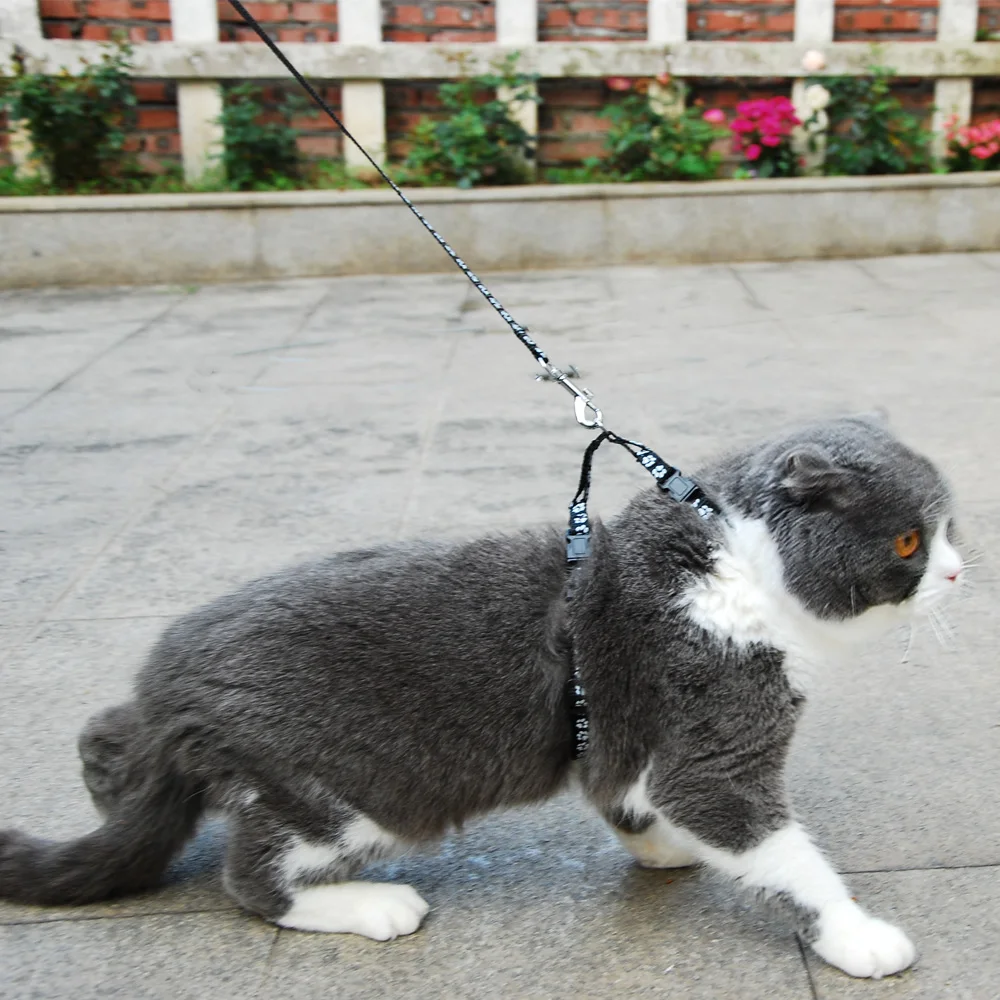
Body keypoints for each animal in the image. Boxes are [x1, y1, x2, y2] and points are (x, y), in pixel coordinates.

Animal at [1, 412, 968, 976]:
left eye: (952, 527)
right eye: (909, 542)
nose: (960, 572)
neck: (733, 573)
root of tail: (169, 685)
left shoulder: (619, 729)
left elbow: (626, 791)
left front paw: (662, 846)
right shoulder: (714, 743)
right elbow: (783, 854)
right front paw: (856, 935)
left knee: (104, 741)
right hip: (345, 795)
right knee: (252, 878)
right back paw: (371, 904)